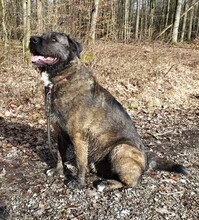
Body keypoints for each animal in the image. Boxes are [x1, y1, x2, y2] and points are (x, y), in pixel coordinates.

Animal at [28, 31, 187, 192]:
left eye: (53, 39)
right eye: (42, 35)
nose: (31, 39)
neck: (63, 77)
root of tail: (145, 163)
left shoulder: (78, 136)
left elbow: (80, 163)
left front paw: (78, 183)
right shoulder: (59, 134)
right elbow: (60, 156)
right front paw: (58, 171)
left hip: (121, 149)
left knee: (132, 182)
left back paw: (106, 184)